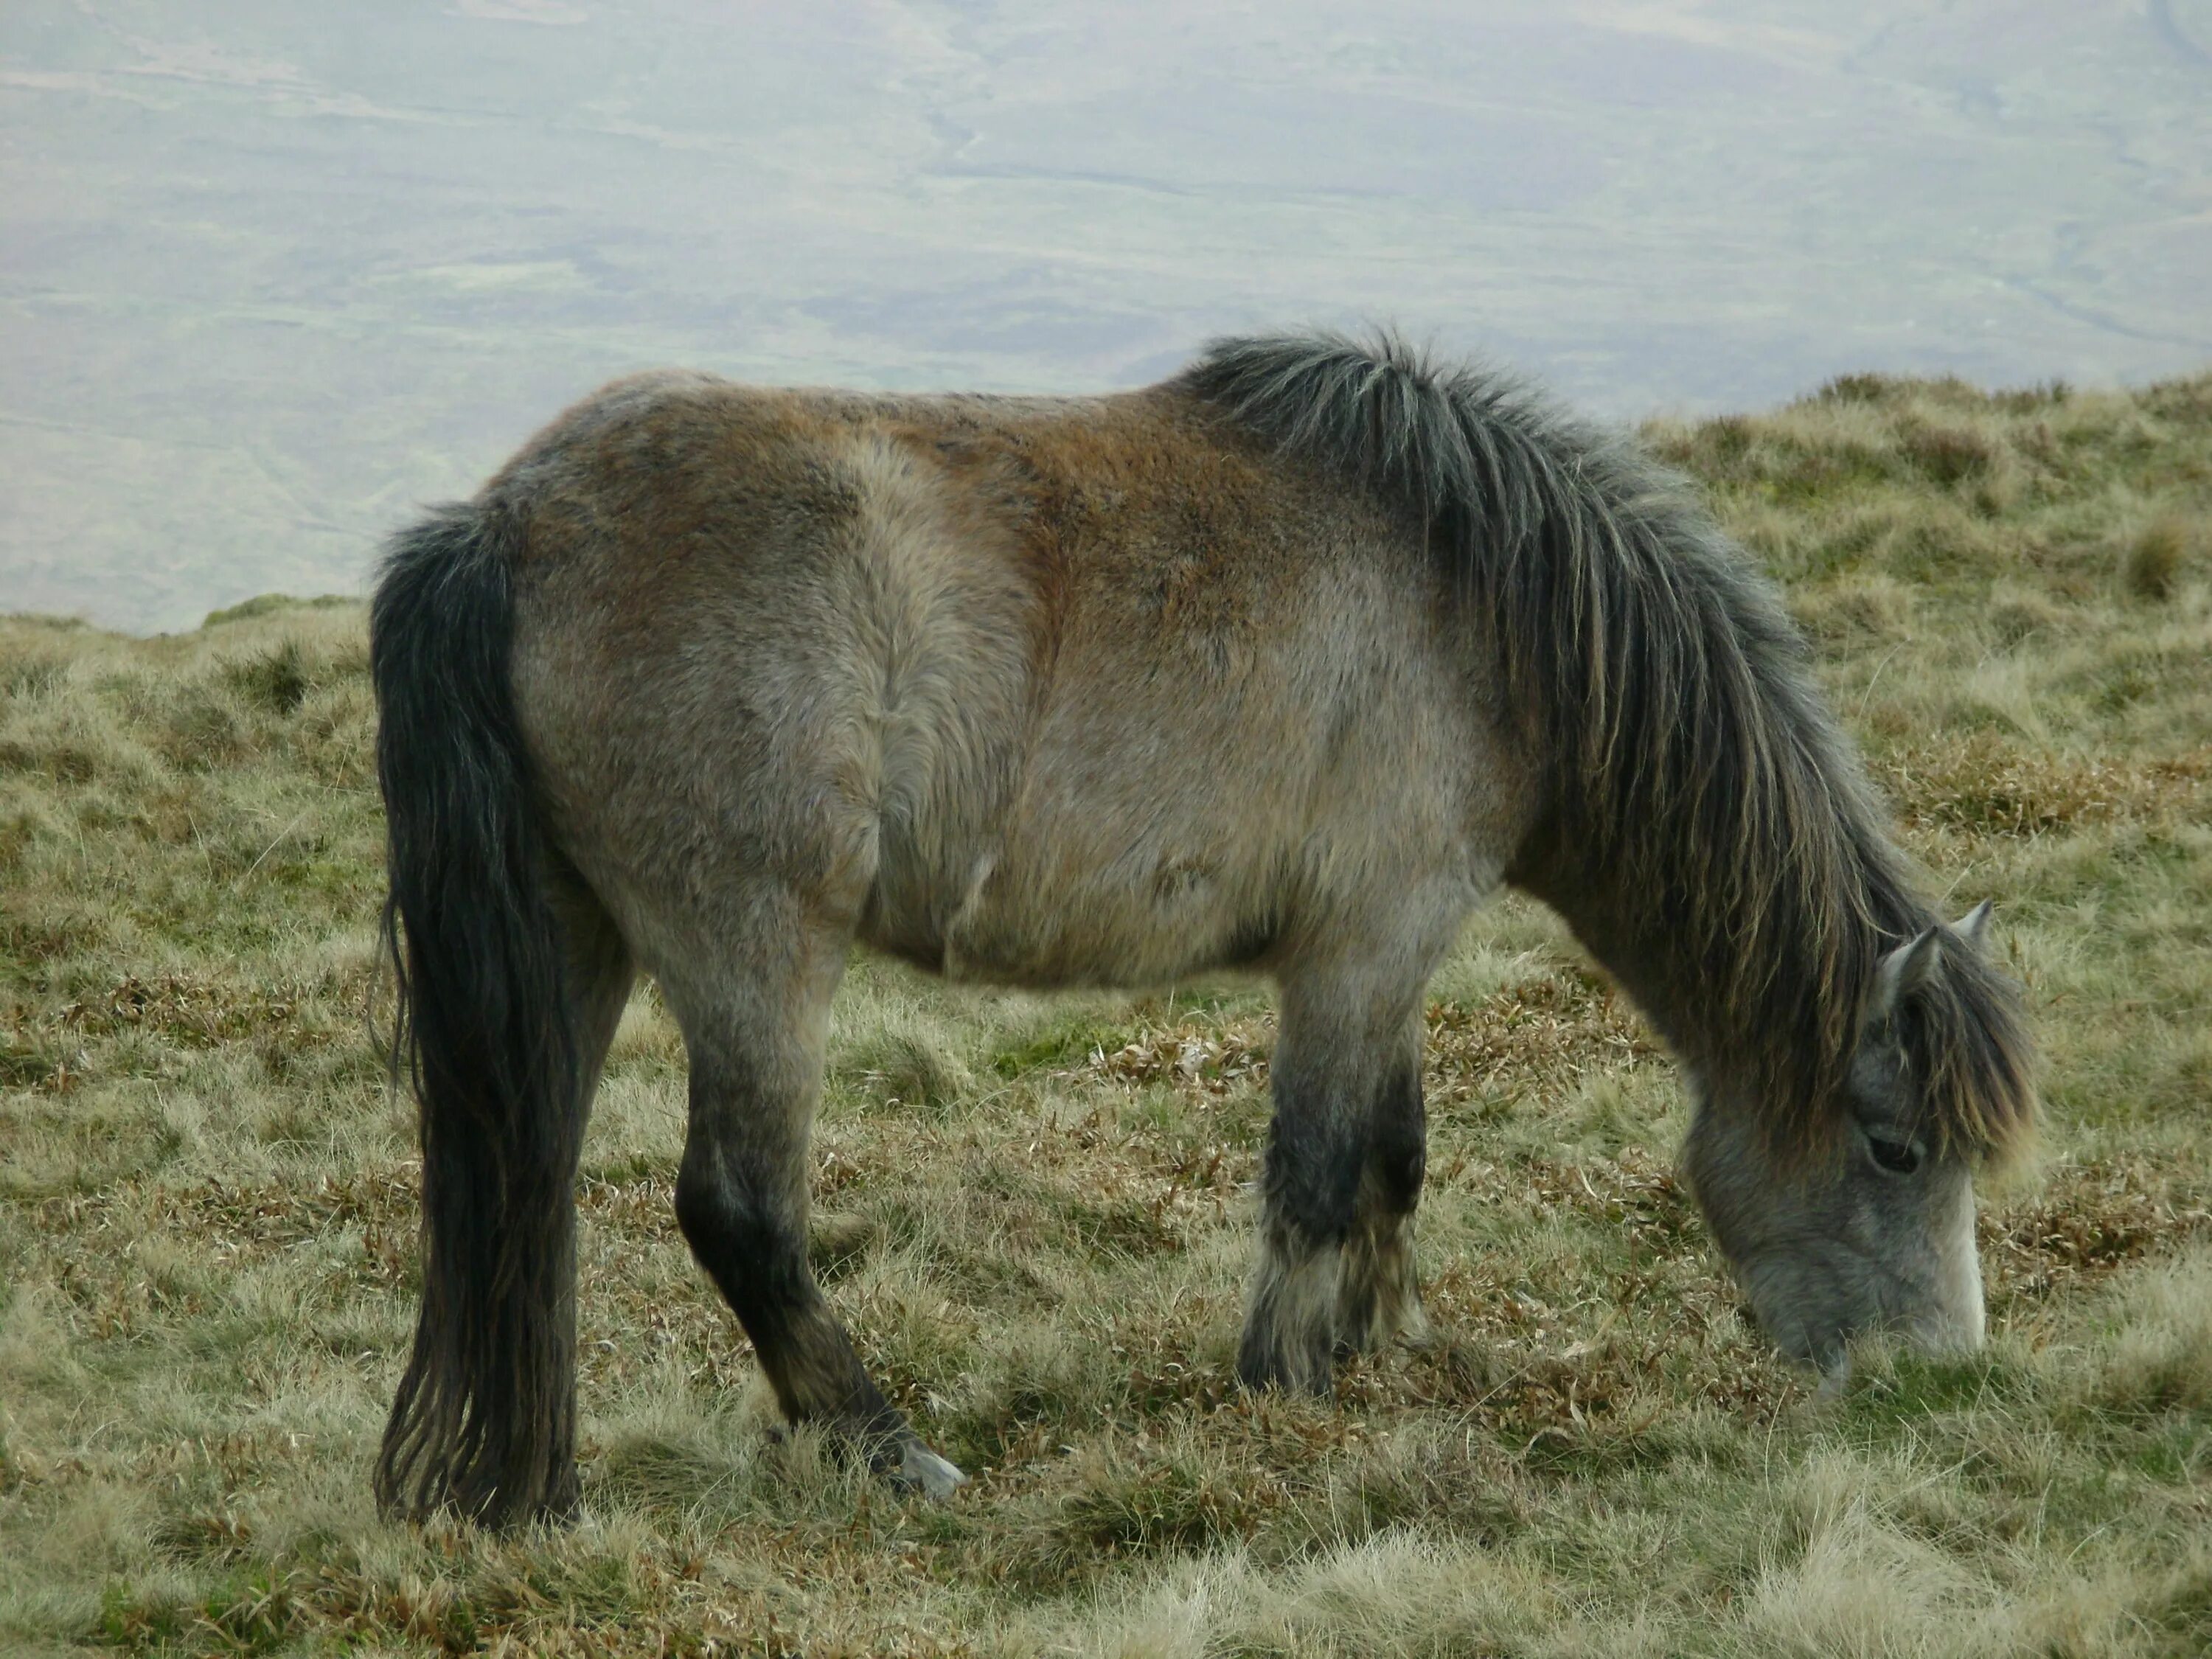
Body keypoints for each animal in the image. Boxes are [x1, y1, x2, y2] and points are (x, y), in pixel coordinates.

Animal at [367, 332, 2035, 1531]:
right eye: (1896, 1149)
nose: (1941, 1384)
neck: (1487, 612)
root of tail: (505, 525)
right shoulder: (1364, 947)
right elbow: (1319, 1170)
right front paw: (1285, 1391)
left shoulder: (1384, 960)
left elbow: (1395, 1153)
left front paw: (1381, 1344)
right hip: (757, 954)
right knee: (737, 1211)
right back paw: (891, 1452)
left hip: (580, 943)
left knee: (528, 1196)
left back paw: (538, 1491)